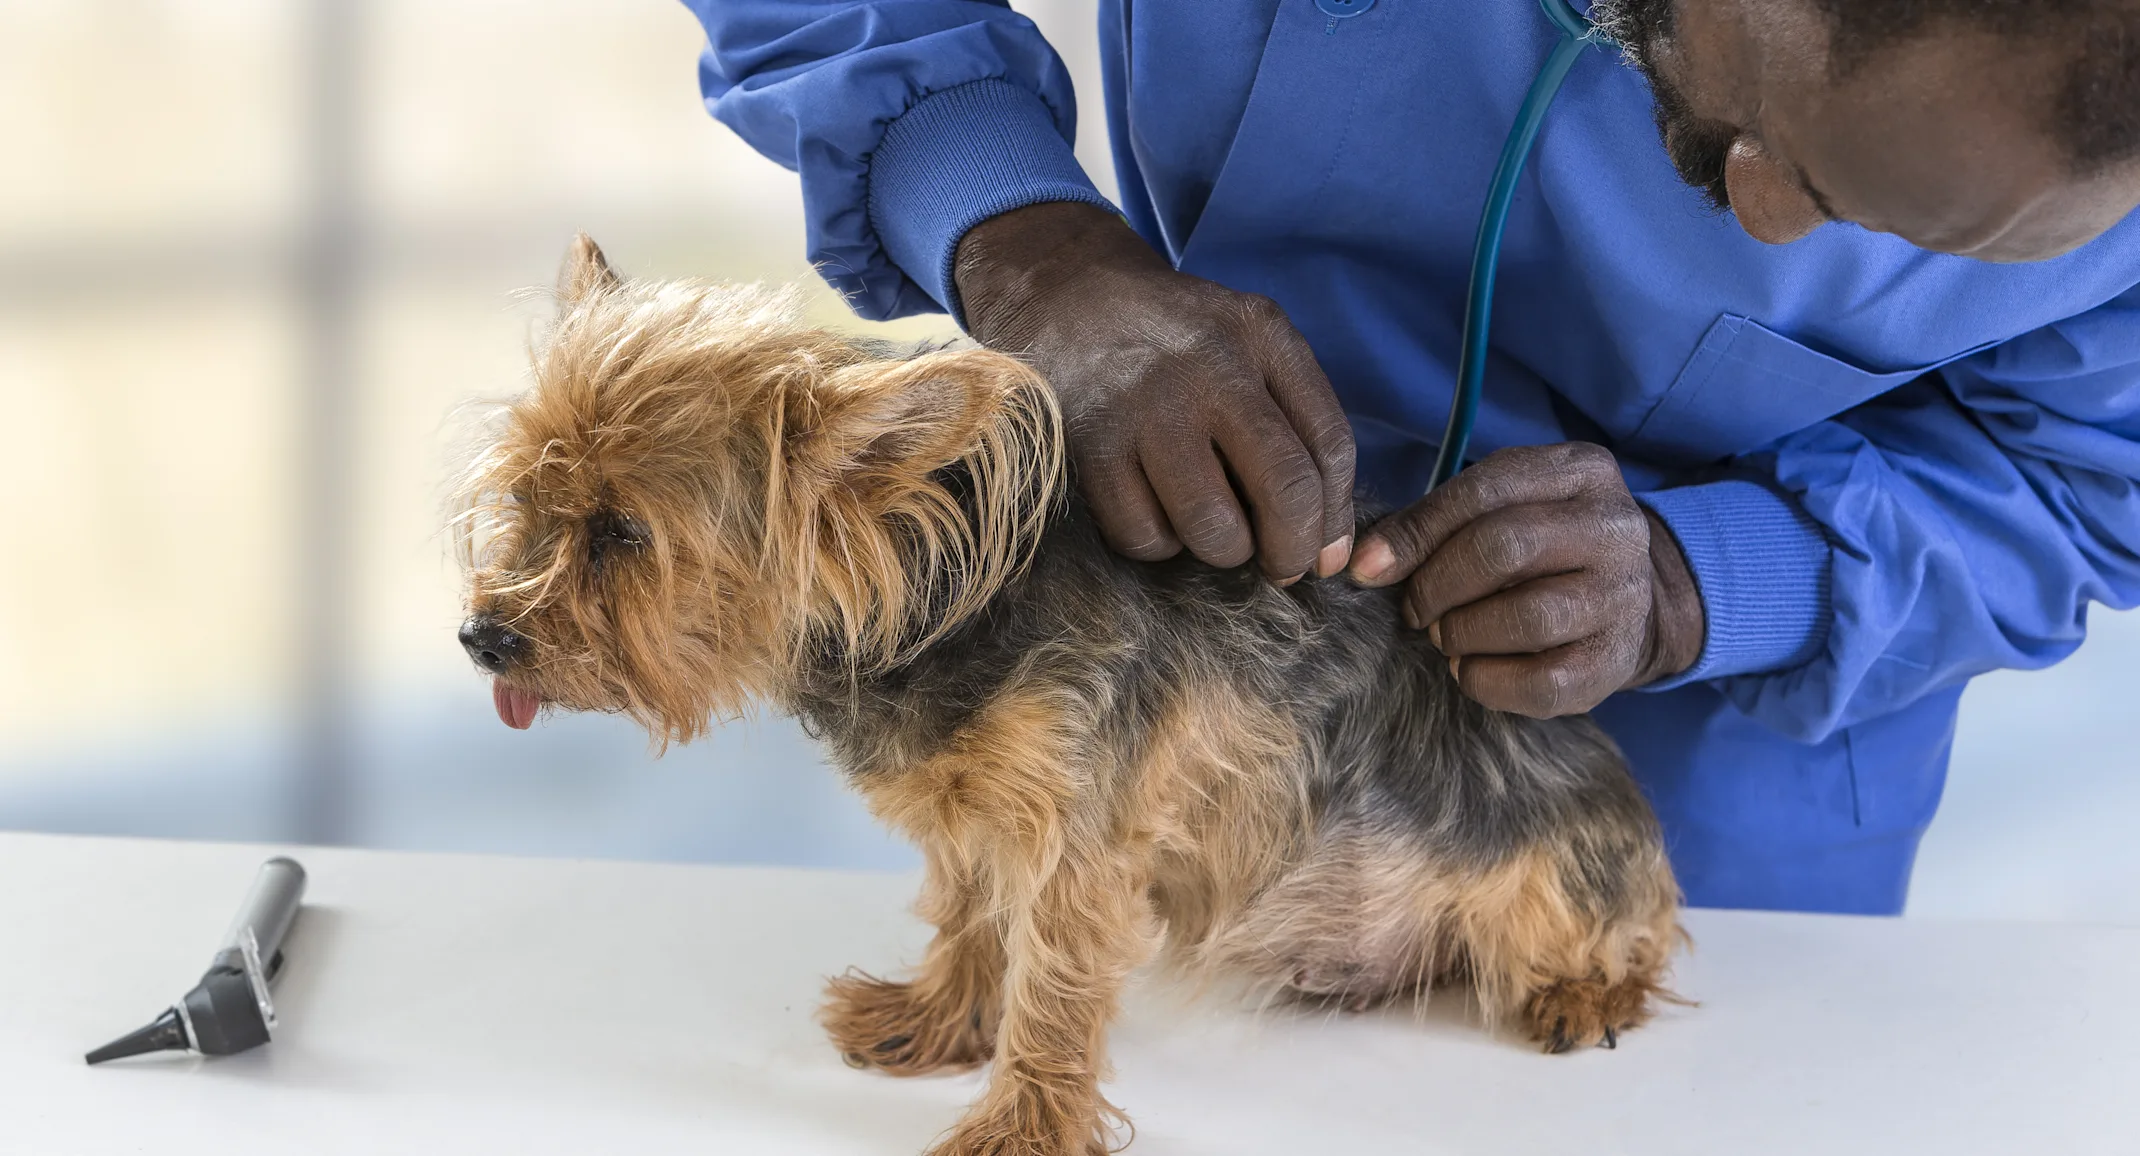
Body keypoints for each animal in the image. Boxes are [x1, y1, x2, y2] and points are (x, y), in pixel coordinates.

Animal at [460, 236, 1677, 1156]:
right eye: (529, 496)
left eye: (623, 534)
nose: (483, 635)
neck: (938, 603)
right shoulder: (976, 810)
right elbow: (968, 914)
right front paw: (935, 1023)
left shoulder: (1080, 834)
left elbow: (1049, 977)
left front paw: (1022, 1125)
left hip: (1553, 868)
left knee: (1639, 939)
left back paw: (1585, 993)